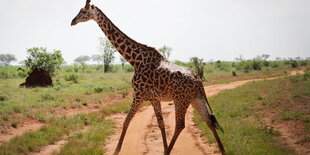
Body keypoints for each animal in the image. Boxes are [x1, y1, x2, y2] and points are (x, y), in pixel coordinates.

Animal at [71, 0, 224, 154]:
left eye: (83, 11)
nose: (73, 21)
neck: (135, 60)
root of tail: (198, 80)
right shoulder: (154, 98)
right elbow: (161, 124)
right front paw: (163, 147)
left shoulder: (138, 94)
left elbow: (126, 121)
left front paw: (117, 150)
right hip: (195, 99)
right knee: (209, 121)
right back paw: (222, 150)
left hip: (181, 100)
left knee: (180, 125)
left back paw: (168, 151)